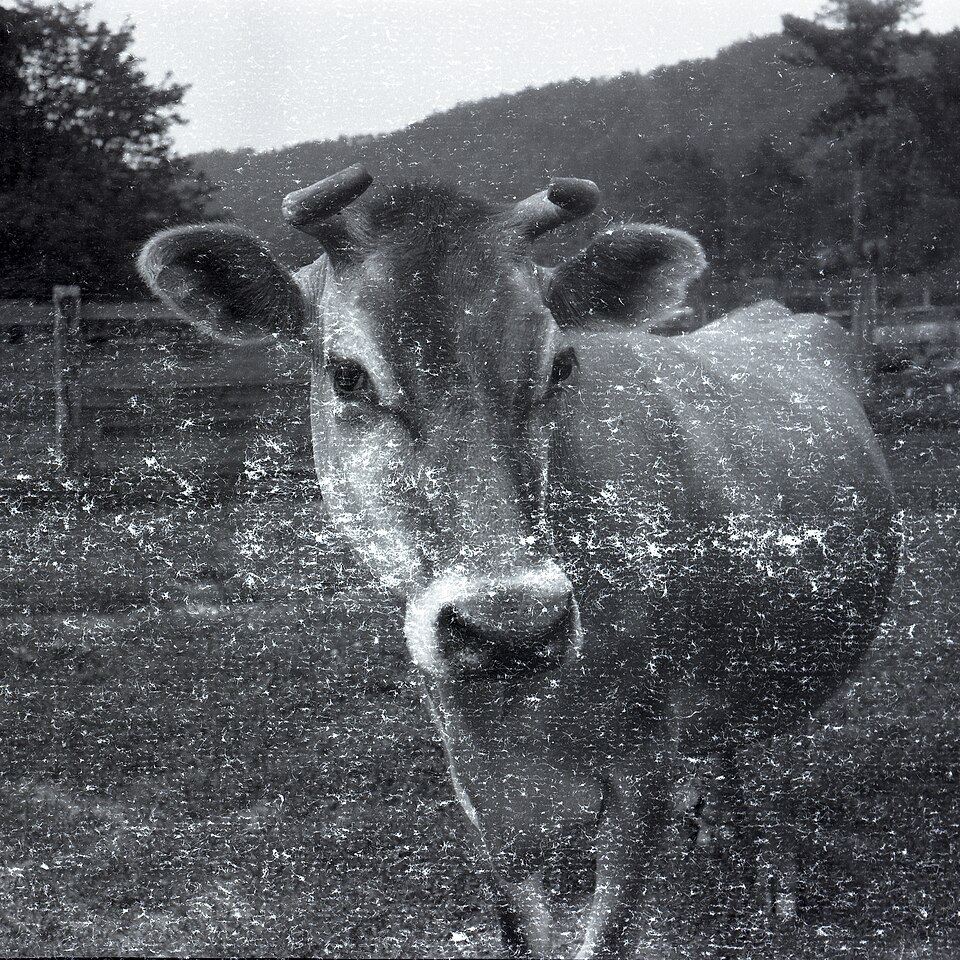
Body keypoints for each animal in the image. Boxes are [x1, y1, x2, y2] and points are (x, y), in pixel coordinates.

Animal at [138, 165, 899, 960]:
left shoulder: (639, 763)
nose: (514, 623)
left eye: (560, 364)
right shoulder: (472, 768)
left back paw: (774, 879)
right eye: (347, 376)